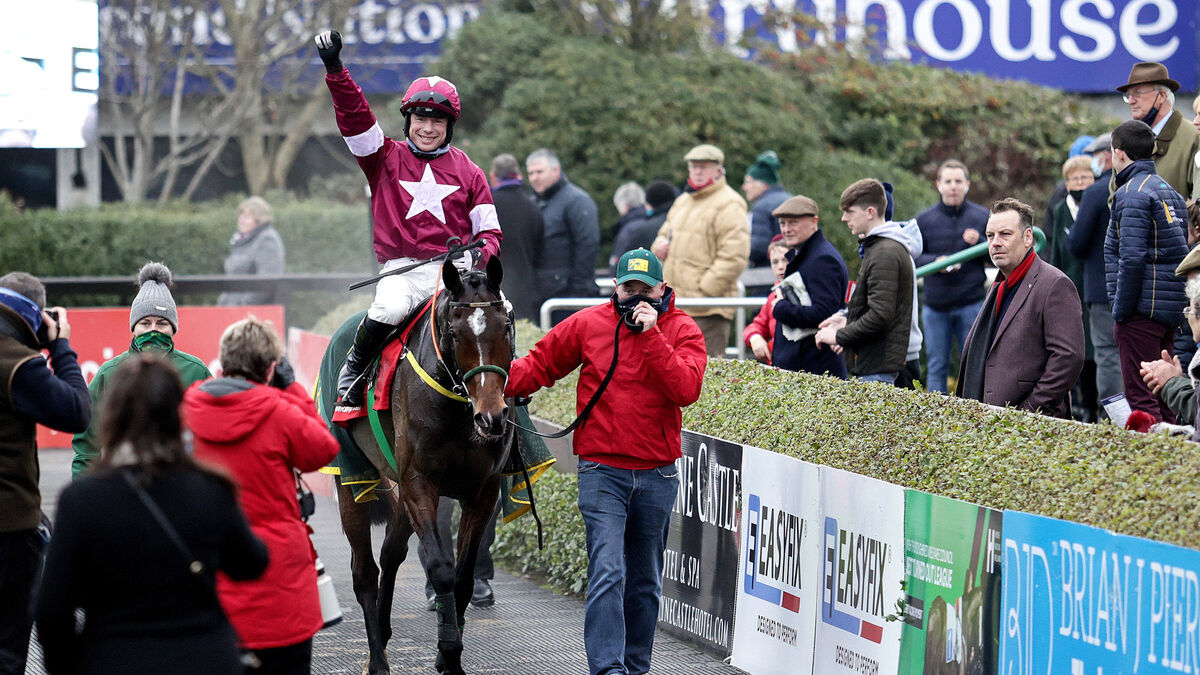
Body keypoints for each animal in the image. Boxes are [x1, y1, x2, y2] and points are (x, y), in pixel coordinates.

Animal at [328, 256, 514, 675]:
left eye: (507, 327)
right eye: (455, 332)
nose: (491, 416)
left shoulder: (483, 490)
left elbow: (463, 576)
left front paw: (450, 655)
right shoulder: (420, 482)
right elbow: (442, 567)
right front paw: (448, 652)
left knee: (390, 554)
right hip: (351, 478)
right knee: (365, 572)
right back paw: (377, 660)